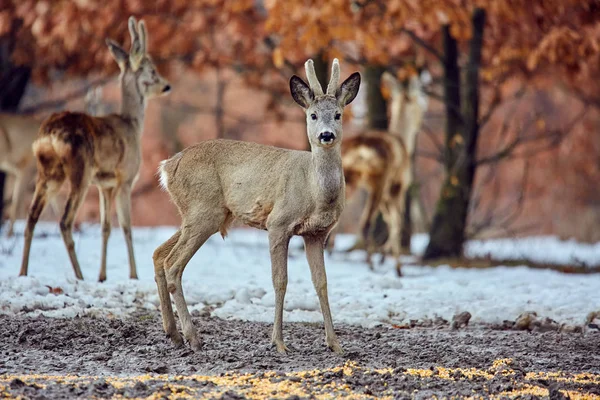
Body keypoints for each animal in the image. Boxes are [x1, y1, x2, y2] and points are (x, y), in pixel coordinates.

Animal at [19, 17, 170, 282]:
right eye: (152, 70)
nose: (166, 86)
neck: (131, 123)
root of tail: (49, 134)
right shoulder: (125, 178)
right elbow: (127, 227)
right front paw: (133, 275)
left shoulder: (104, 185)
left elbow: (105, 227)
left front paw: (102, 276)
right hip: (80, 170)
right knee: (65, 221)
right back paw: (79, 275)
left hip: (48, 172)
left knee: (31, 217)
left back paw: (23, 273)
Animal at [155, 58, 360, 354]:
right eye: (312, 115)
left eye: (338, 115)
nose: (326, 135)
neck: (314, 191)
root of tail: (168, 166)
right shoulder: (278, 223)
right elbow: (280, 281)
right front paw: (279, 342)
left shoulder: (316, 234)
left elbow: (321, 283)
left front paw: (335, 344)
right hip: (203, 211)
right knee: (172, 263)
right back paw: (193, 338)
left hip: (201, 214)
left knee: (159, 254)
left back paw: (173, 334)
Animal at [328, 69, 432, 276]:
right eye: (419, 99)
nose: (422, 115)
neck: (403, 140)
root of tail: (361, 149)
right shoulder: (398, 184)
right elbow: (396, 221)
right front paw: (396, 266)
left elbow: (389, 219)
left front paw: (385, 256)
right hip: (379, 179)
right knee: (366, 223)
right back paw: (370, 263)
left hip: (349, 179)